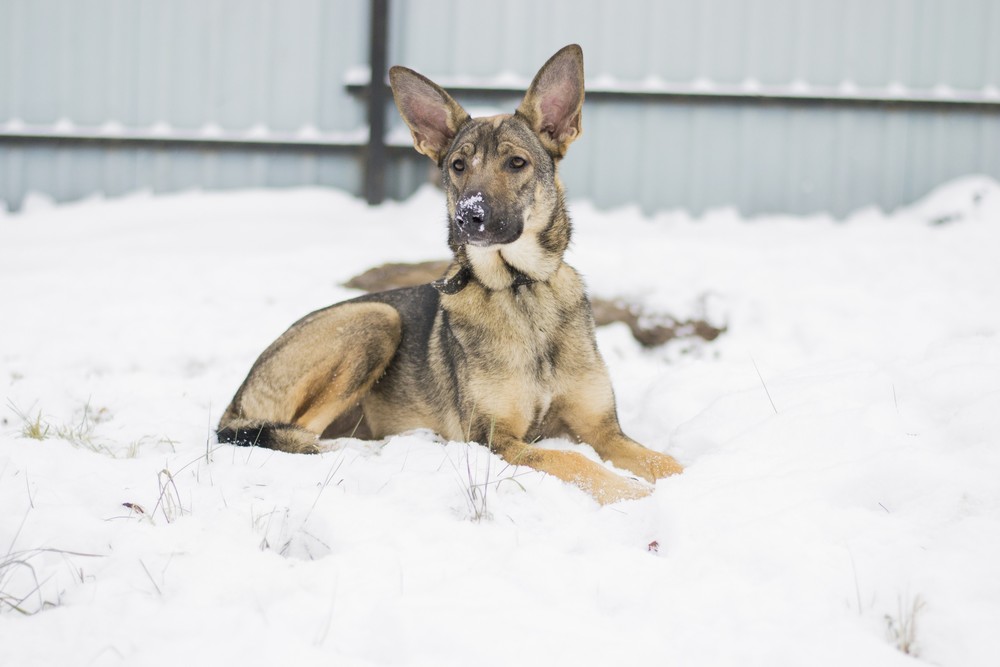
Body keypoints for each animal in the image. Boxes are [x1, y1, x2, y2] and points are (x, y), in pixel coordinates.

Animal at [218, 44, 684, 504]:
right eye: (459, 166)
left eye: (517, 163)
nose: (467, 217)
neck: (519, 289)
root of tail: (239, 397)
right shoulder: (495, 438)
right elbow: (571, 460)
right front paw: (630, 493)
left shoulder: (602, 430)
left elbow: (665, 460)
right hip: (376, 320)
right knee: (301, 436)